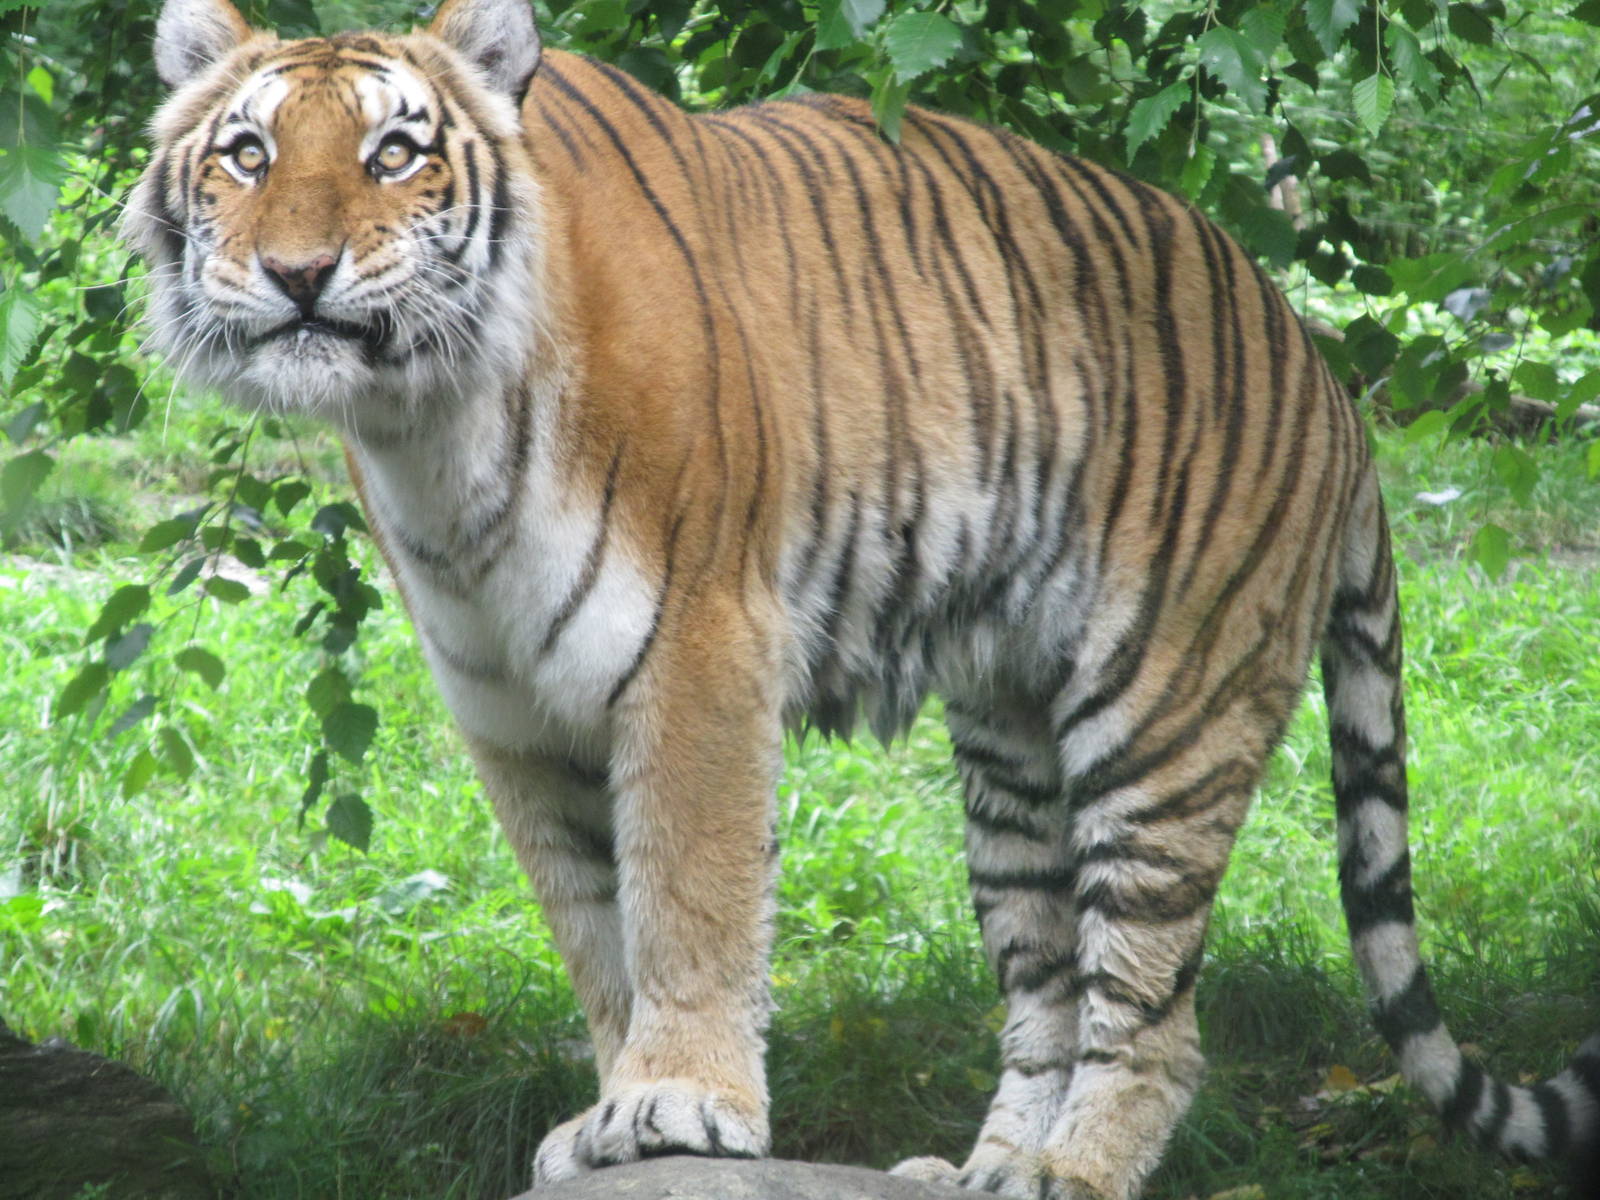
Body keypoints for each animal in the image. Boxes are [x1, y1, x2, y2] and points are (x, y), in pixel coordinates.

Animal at [124, 0, 1600, 1195]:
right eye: (247, 154)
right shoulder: (511, 710)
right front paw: (611, 1108)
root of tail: (1326, 373)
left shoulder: (698, 650)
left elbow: (688, 898)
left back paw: (1071, 1174)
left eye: (395, 153)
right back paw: (989, 1176)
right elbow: (597, 929)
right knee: (1049, 990)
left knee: (1158, 1014)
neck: (427, 423)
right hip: (1011, 748)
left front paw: (680, 1105)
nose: (298, 275)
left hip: (1167, 710)